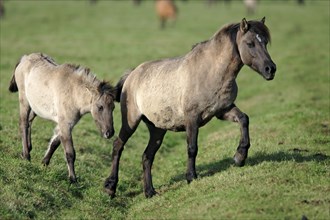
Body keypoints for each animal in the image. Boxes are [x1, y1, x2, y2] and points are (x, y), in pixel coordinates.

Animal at [104, 17, 274, 198]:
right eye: (250, 43)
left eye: (265, 42)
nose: (271, 69)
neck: (210, 71)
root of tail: (132, 75)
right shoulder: (192, 118)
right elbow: (192, 147)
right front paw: (191, 176)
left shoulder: (223, 110)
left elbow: (244, 119)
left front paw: (239, 157)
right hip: (131, 121)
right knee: (118, 146)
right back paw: (110, 187)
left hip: (157, 129)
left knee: (147, 156)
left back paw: (149, 191)